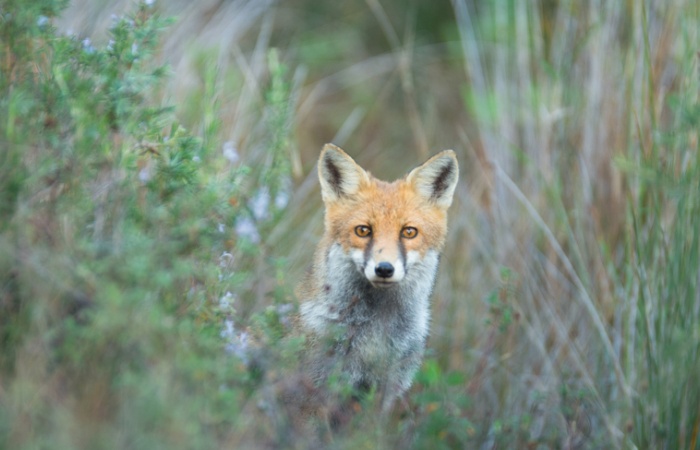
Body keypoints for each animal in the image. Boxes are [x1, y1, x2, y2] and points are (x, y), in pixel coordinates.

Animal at [296, 142, 460, 414]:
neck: (374, 336)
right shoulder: (318, 388)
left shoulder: (384, 393)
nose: (384, 269)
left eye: (409, 232)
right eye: (363, 230)